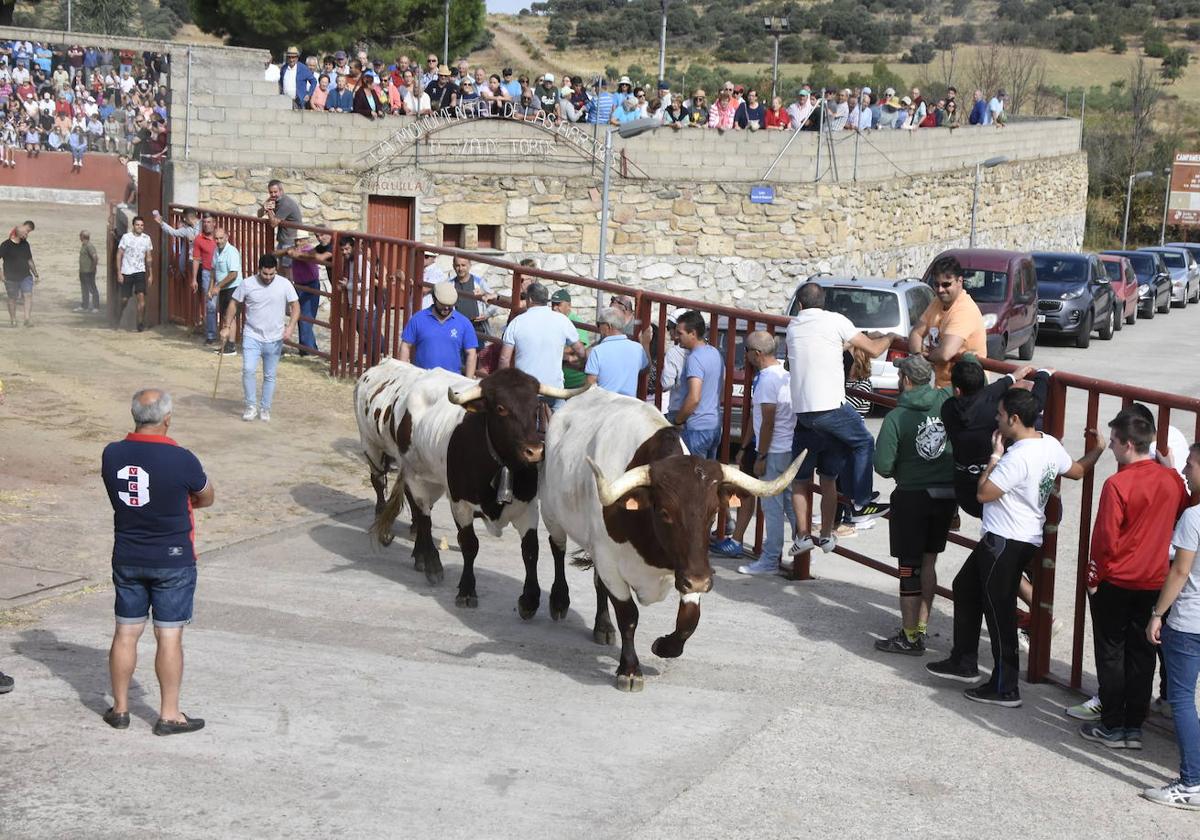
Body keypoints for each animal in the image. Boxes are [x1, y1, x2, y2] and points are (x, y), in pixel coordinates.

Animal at [352, 357, 583, 614]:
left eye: (535, 409)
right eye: (501, 408)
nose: (534, 451)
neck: (500, 464)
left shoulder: (527, 507)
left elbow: (531, 549)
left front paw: (530, 599)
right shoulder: (460, 504)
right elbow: (470, 545)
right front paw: (466, 590)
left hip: (429, 478)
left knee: (419, 508)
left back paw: (419, 554)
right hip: (384, 453)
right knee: (411, 505)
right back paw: (430, 561)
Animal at [540, 386, 801, 691]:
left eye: (714, 513)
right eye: (665, 512)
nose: (701, 581)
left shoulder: (688, 567)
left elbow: (689, 619)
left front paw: (664, 646)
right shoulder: (610, 563)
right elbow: (628, 616)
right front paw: (630, 670)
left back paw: (602, 626)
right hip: (551, 514)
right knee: (557, 549)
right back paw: (558, 601)